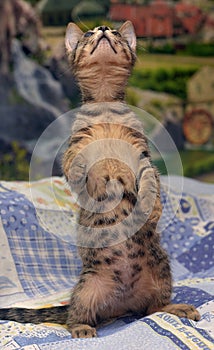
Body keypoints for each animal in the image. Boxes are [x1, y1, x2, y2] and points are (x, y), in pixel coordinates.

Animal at [0, 20, 200, 338]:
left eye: (117, 34)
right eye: (87, 34)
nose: (104, 27)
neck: (106, 109)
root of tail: (123, 304)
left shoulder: (142, 154)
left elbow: (150, 179)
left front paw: (152, 206)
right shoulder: (74, 148)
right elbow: (77, 165)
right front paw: (93, 180)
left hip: (161, 269)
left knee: (153, 309)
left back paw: (175, 308)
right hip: (87, 288)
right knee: (75, 317)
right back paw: (82, 328)